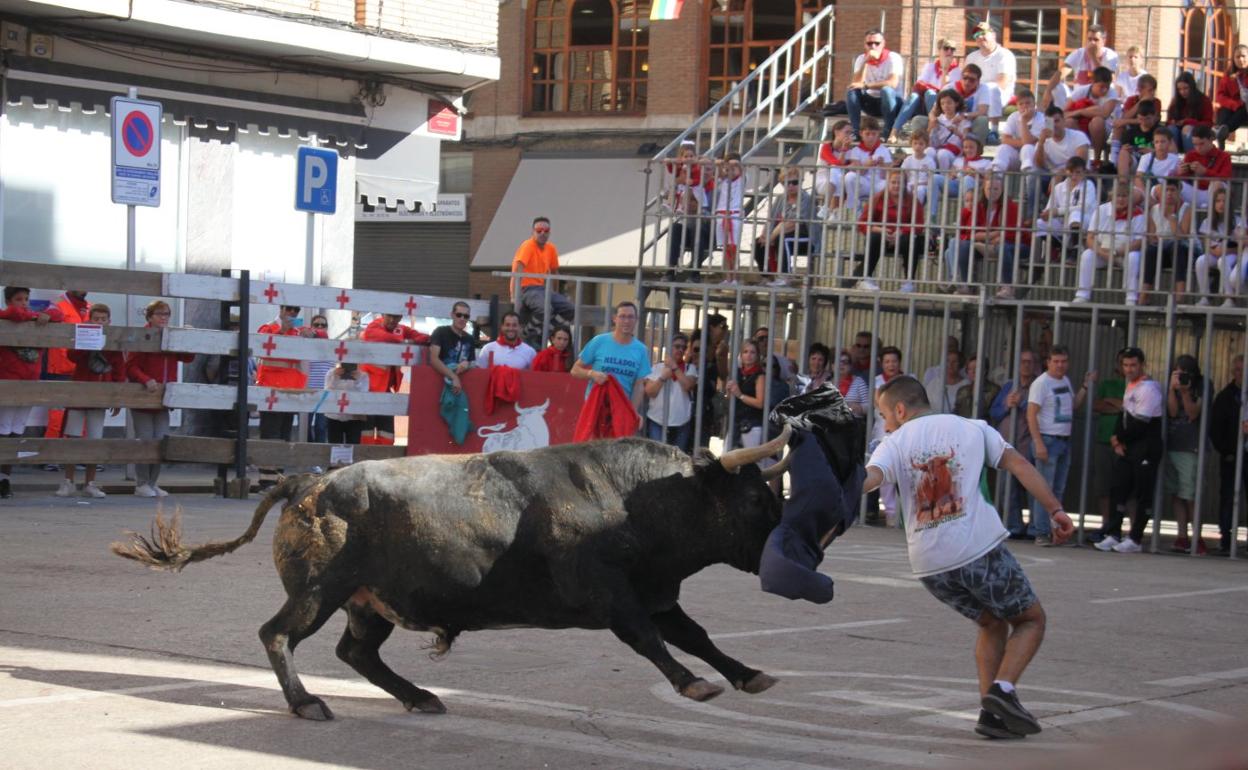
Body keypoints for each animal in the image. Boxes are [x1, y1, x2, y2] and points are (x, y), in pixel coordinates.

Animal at [114, 426, 788, 718]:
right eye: (758, 498)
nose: (787, 551)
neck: (638, 497)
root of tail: (308, 482)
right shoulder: (612, 596)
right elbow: (651, 640)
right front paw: (695, 685)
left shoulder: (656, 593)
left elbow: (695, 634)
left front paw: (748, 675)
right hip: (318, 591)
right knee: (278, 634)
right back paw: (308, 704)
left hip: (367, 602)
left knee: (356, 652)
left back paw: (420, 696)